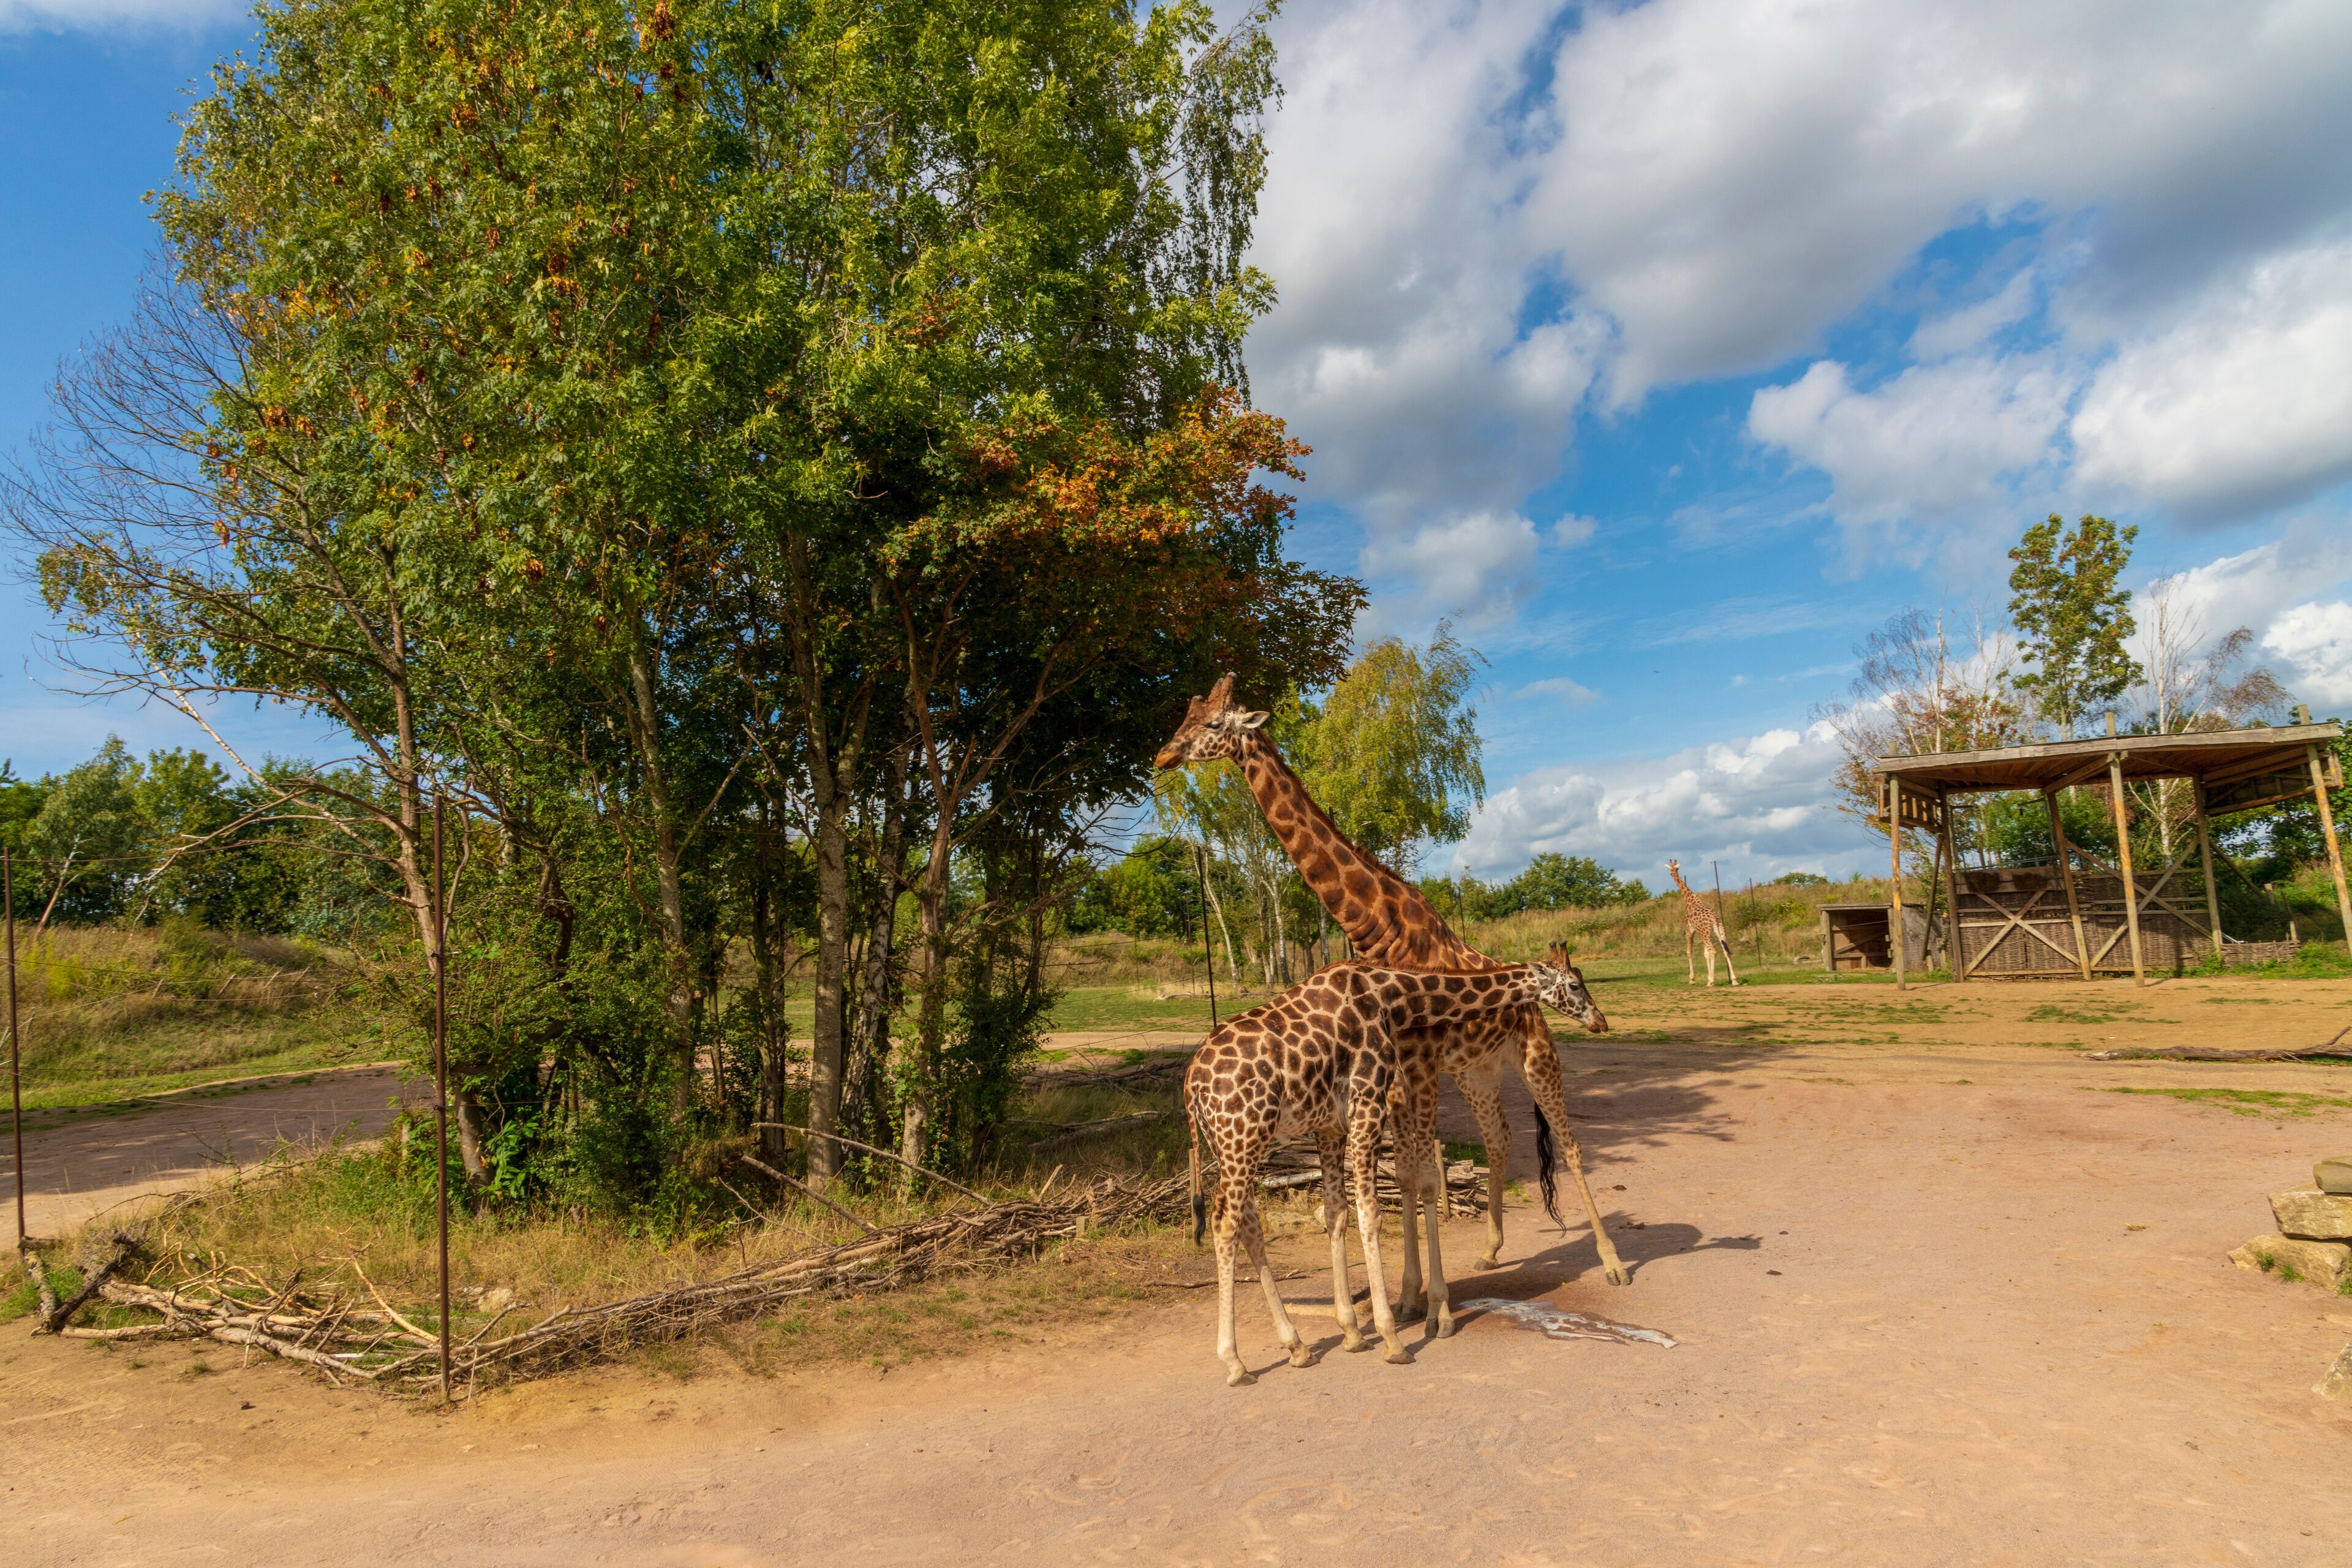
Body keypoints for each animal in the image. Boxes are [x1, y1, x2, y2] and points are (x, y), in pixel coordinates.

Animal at [1157, 675, 1631, 1304]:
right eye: (1184, 717)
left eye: (1212, 725)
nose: (1163, 756)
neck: (1377, 924)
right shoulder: (1403, 1073)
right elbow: (1405, 1174)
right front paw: (1409, 1295)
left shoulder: (1418, 1066)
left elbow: (1420, 1175)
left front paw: (1423, 1299)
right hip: (1477, 1071)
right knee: (1500, 1140)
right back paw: (1489, 1251)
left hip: (1536, 1056)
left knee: (1570, 1145)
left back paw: (1613, 1263)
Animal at [1184, 958, 1602, 1386]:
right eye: (1575, 984)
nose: (1598, 1020)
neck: (1393, 998)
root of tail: (1191, 1086)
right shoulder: (1368, 1103)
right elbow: (1370, 1215)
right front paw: (1391, 1338)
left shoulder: (1331, 1125)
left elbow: (1337, 1214)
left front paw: (1353, 1334)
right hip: (1244, 1138)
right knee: (1225, 1225)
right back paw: (1235, 1363)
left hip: (1231, 1146)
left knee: (1250, 1228)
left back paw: (1298, 1348)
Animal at [1666, 858, 1740, 987]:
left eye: (1671, 871)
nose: (1671, 874)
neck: (1690, 901)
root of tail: (1714, 919)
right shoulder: (1702, 933)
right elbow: (1706, 954)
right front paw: (1708, 978)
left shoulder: (1689, 930)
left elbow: (1689, 952)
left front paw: (1692, 980)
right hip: (1719, 931)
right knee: (1726, 950)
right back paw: (1734, 980)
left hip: (1705, 933)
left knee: (1713, 951)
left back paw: (1712, 982)